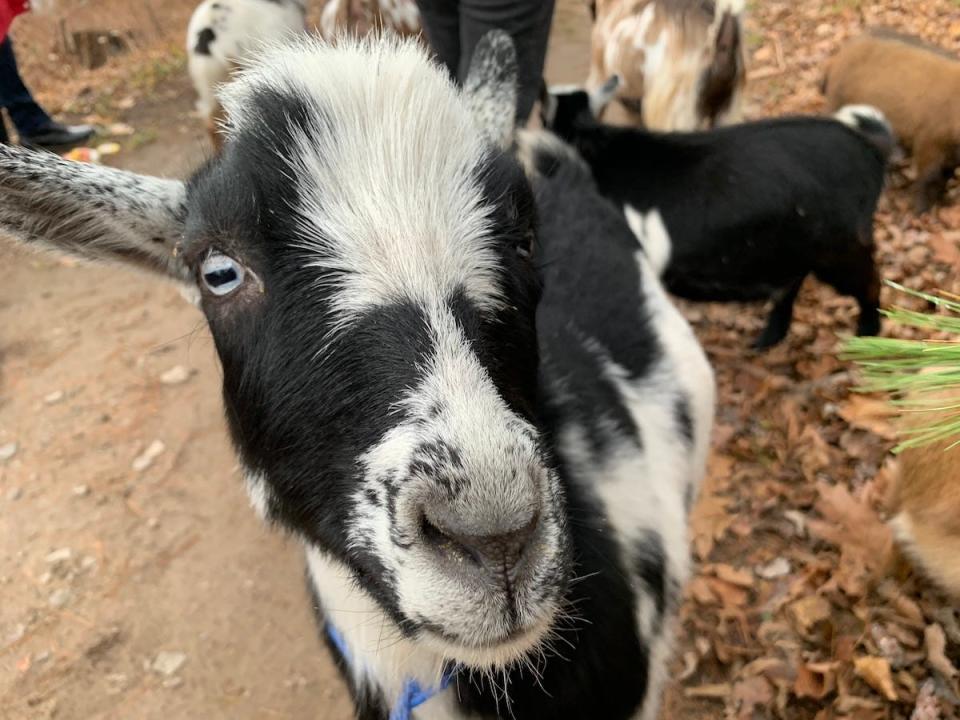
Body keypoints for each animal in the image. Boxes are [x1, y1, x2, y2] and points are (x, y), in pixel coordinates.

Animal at [540, 83, 892, 350]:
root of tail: (870, 148)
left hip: (841, 248)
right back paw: (769, 337)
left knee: (870, 283)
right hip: (794, 249)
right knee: (792, 282)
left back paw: (868, 337)